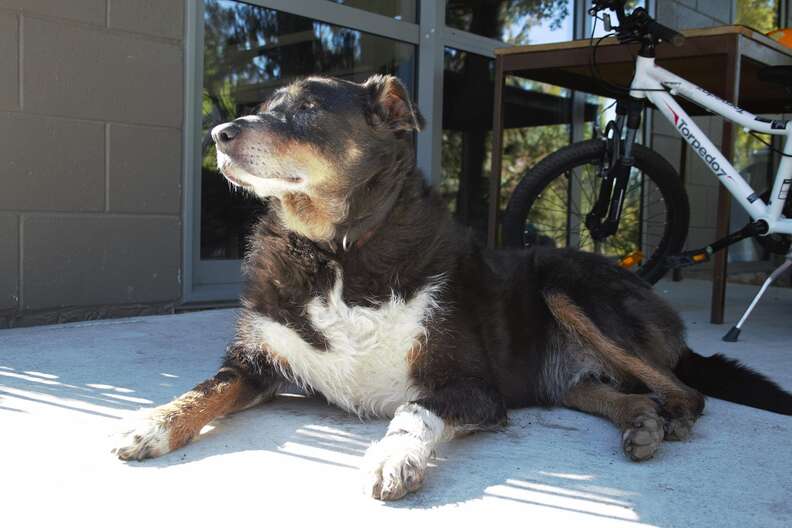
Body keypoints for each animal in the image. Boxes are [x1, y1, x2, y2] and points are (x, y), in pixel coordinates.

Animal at [114, 74, 792, 500]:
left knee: (685, 392)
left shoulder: (472, 387)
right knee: (612, 393)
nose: (220, 133)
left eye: (307, 109)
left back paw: (666, 421)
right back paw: (639, 423)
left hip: (566, 285)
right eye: (267, 102)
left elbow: (413, 411)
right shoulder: (256, 362)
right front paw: (150, 423)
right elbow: (207, 388)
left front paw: (394, 459)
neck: (337, 252)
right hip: (561, 376)